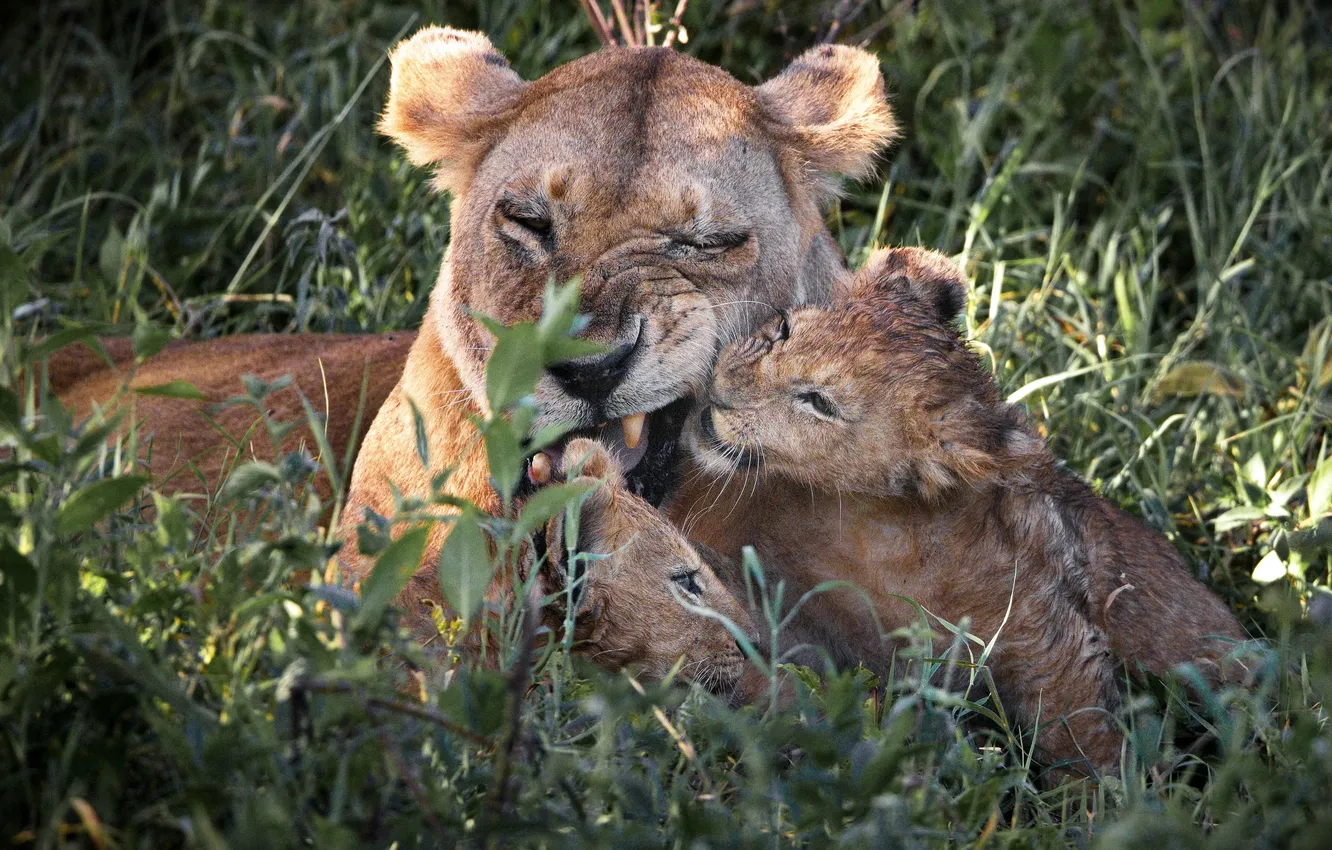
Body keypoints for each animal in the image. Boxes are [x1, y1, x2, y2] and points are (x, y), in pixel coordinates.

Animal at [674, 246, 1250, 775]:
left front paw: (1108, 799)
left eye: (819, 402)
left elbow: (1082, 728)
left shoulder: (1043, 624)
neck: (861, 523)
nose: (722, 392)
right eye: (784, 330)